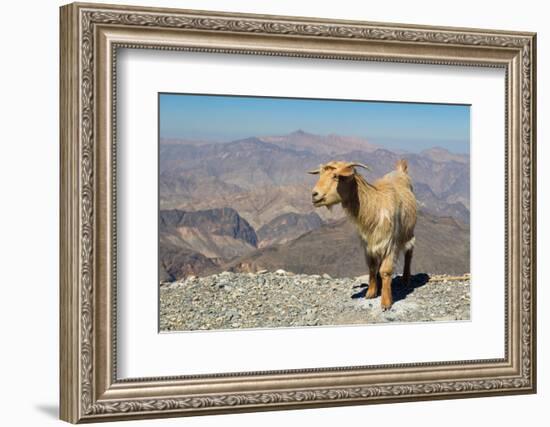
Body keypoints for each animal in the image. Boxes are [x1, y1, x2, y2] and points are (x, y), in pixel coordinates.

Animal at [310, 160, 418, 310]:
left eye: (336, 176)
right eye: (320, 174)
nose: (314, 194)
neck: (374, 206)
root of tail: (401, 171)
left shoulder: (390, 243)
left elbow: (385, 271)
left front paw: (386, 302)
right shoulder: (368, 244)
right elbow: (372, 267)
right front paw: (371, 292)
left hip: (409, 232)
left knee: (409, 251)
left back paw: (406, 278)